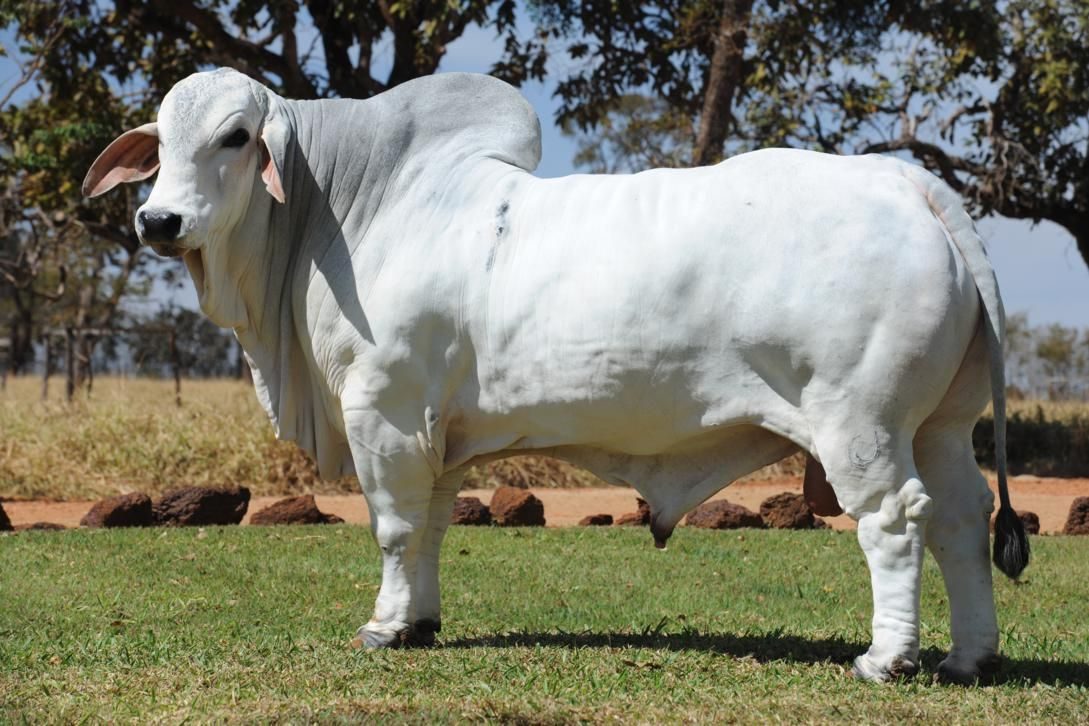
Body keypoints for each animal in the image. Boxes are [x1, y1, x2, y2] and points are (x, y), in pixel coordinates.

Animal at [84, 66, 1028, 683]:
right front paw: (421, 623)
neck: (348, 211)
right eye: (160, 143)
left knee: (895, 521)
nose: (157, 220)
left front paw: (384, 627)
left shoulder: (382, 412)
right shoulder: (435, 434)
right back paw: (966, 655)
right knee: (959, 519)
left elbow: (392, 528)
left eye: (235, 137)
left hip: (860, 424)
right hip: (940, 426)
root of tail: (908, 185)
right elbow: (431, 529)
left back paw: (887, 657)